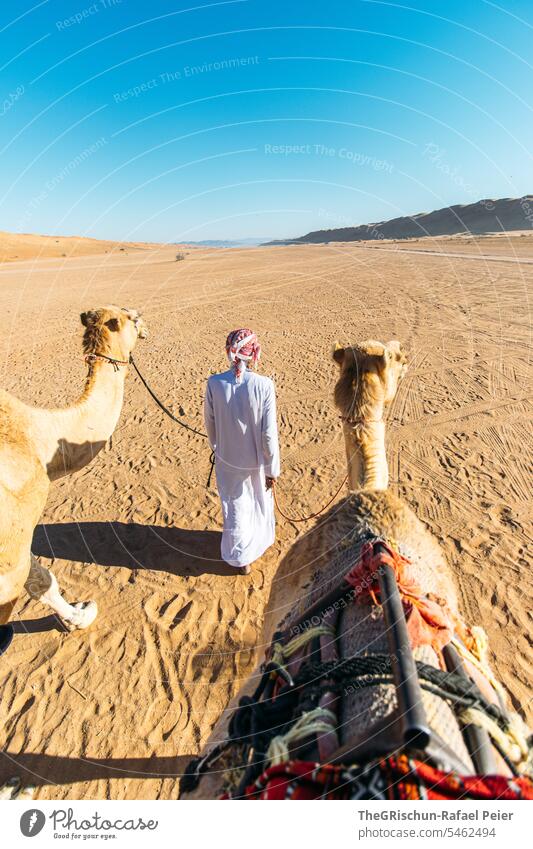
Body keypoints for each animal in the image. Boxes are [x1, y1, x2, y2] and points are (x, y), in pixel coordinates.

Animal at [0, 304, 148, 636]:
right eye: (131, 317)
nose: (145, 324)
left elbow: (41, 579)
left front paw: (78, 614)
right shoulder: (11, 556)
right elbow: (40, 580)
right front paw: (82, 615)